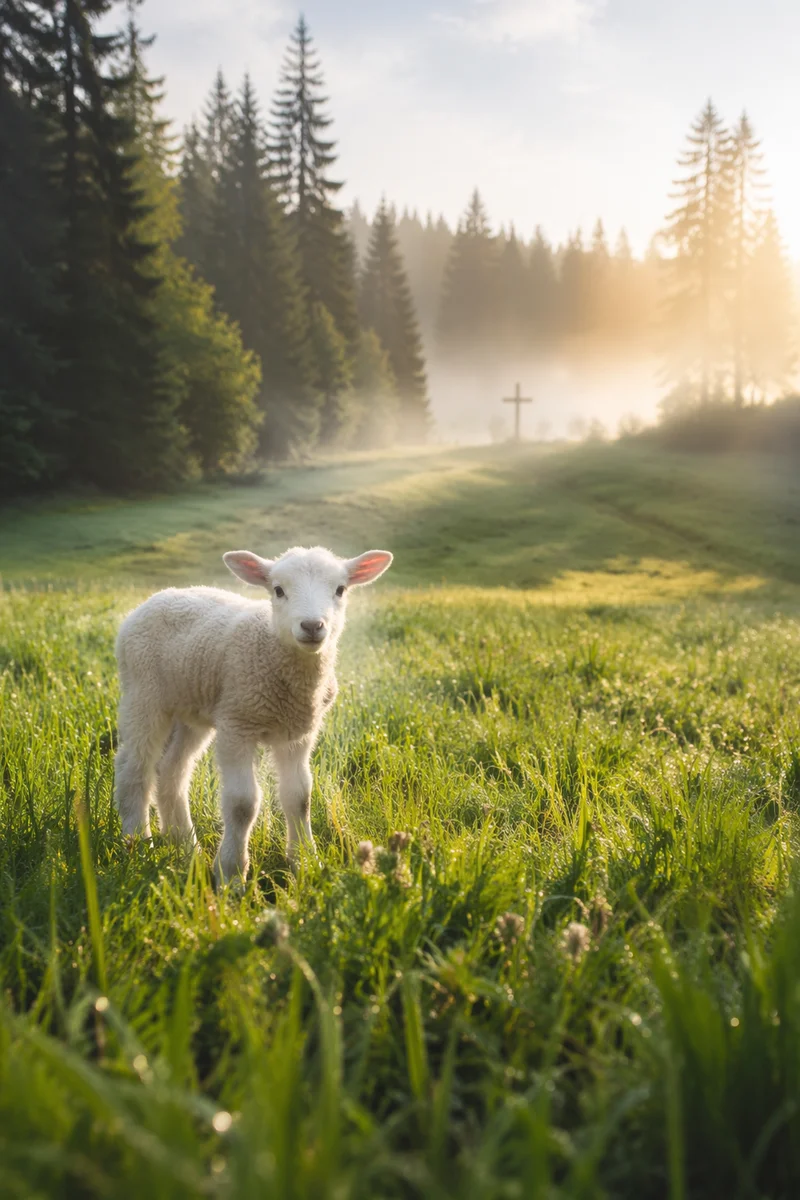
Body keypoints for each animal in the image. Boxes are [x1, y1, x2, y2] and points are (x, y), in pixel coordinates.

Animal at [113, 545, 393, 882]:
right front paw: (231, 874)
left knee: (171, 771)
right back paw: (138, 844)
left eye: (340, 589)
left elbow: (299, 797)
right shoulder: (237, 724)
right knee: (133, 769)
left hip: (191, 708)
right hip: (144, 695)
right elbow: (242, 805)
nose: (312, 626)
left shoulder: (296, 734)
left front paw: (305, 862)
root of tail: (156, 598)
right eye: (278, 590)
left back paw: (186, 849)